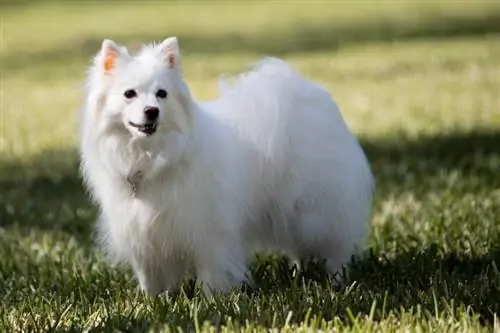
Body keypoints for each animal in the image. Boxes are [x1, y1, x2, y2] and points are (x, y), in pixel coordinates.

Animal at [79, 37, 376, 296]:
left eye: (161, 94)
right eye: (129, 94)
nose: (152, 111)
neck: (152, 158)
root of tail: (307, 95)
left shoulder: (209, 230)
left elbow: (211, 271)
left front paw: (209, 300)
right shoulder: (142, 236)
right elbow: (150, 277)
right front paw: (153, 301)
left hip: (316, 211)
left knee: (336, 245)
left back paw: (337, 280)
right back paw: (298, 273)